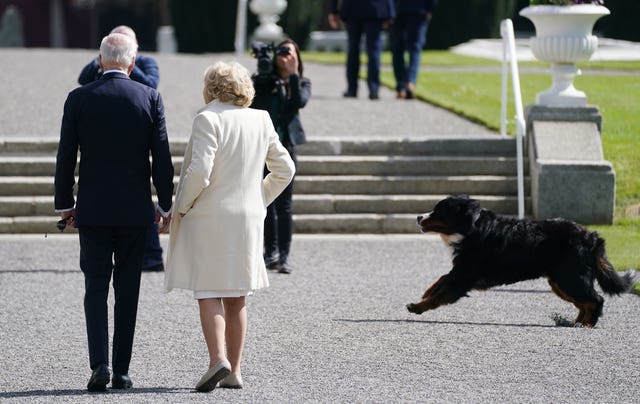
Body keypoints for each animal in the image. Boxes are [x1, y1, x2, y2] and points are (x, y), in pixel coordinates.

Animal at [408, 194, 632, 326]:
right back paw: (575, 322)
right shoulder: (461, 270)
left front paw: (417, 306)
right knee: (584, 303)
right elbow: (441, 279)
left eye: (439, 211)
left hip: (570, 278)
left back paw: (586, 324)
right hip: (560, 282)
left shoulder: (464, 276)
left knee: (596, 300)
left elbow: (441, 294)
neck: (472, 229)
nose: (418, 217)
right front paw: (427, 291)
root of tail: (592, 237)